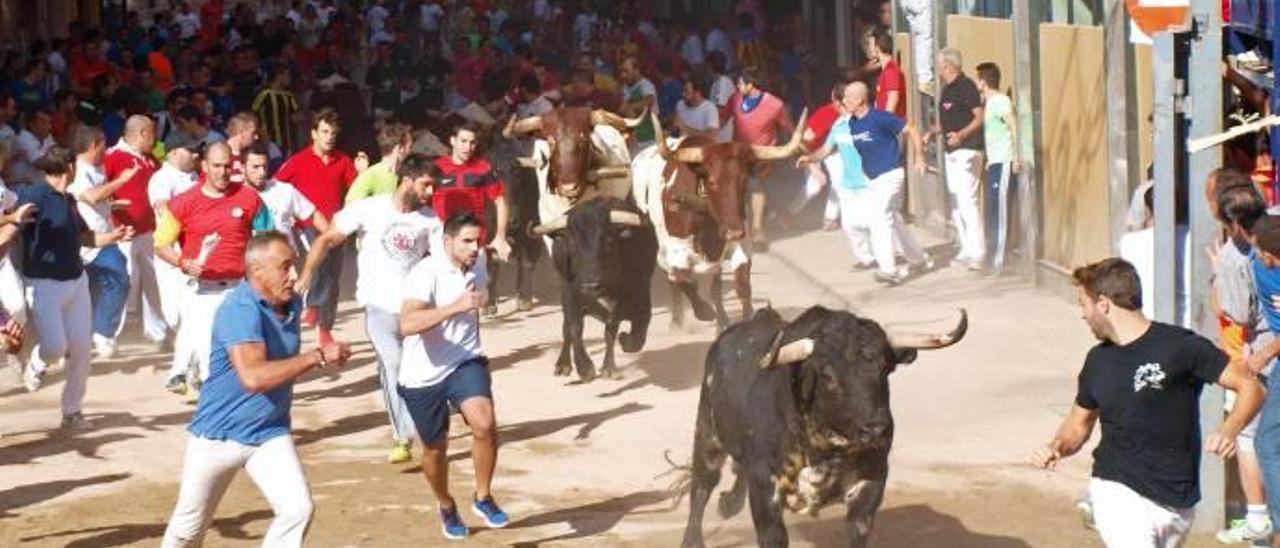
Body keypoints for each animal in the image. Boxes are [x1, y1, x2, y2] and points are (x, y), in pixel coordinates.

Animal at [529, 195, 655, 381]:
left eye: (609, 240)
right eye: (572, 245)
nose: (590, 286)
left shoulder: (642, 301)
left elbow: (635, 338)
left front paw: (623, 341)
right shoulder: (569, 297)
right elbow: (574, 329)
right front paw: (585, 368)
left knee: (610, 333)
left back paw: (609, 368)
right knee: (567, 329)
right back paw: (563, 365)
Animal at [632, 109, 808, 327]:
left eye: (744, 180)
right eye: (712, 182)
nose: (734, 232)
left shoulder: (742, 244)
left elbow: (742, 285)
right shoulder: (675, 251)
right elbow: (683, 281)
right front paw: (704, 312)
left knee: (715, 284)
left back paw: (722, 319)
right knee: (673, 278)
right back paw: (677, 321)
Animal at [686, 306, 962, 545]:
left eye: (886, 368)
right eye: (828, 375)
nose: (876, 430)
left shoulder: (871, 481)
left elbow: (857, 530)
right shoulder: (765, 488)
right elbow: (773, 536)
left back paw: (729, 504)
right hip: (708, 434)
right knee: (702, 486)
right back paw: (695, 537)